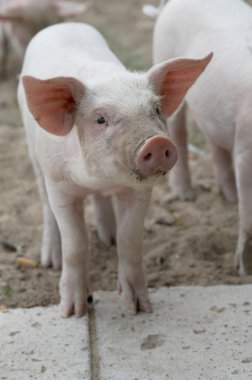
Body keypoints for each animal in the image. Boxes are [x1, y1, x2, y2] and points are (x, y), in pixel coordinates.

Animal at [17, 21, 211, 318]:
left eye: (156, 109)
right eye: (100, 119)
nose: (157, 142)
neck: (99, 179)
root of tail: (62, 24)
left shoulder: (140, 192)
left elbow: (129, 240)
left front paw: (138, 308)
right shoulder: (60, 185)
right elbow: (75, 243)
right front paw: (72, 312)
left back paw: (106, 237)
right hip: (34, 155)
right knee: (44, 202)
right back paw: (51, 261)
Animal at [149, 0, 252, 274]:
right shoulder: (245, 148)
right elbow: (248, 214)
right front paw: (242, 270)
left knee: (214, 143)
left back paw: (230, 197)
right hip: (163, 57)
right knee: (179, 133)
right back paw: (186, 195)